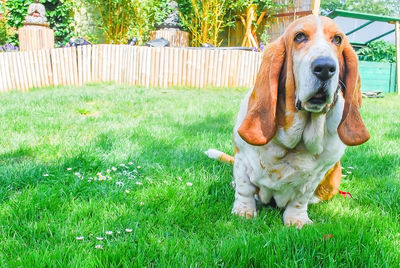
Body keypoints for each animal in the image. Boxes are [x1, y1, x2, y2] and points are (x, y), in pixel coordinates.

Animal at [208, 14, 370, 228]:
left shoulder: (315, 176)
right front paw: (243, 212)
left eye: (337, 39)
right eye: (299, 37)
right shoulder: (242, 157)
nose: (325, 68)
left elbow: (301, 199)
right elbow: (245, 189)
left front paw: (297, 220)